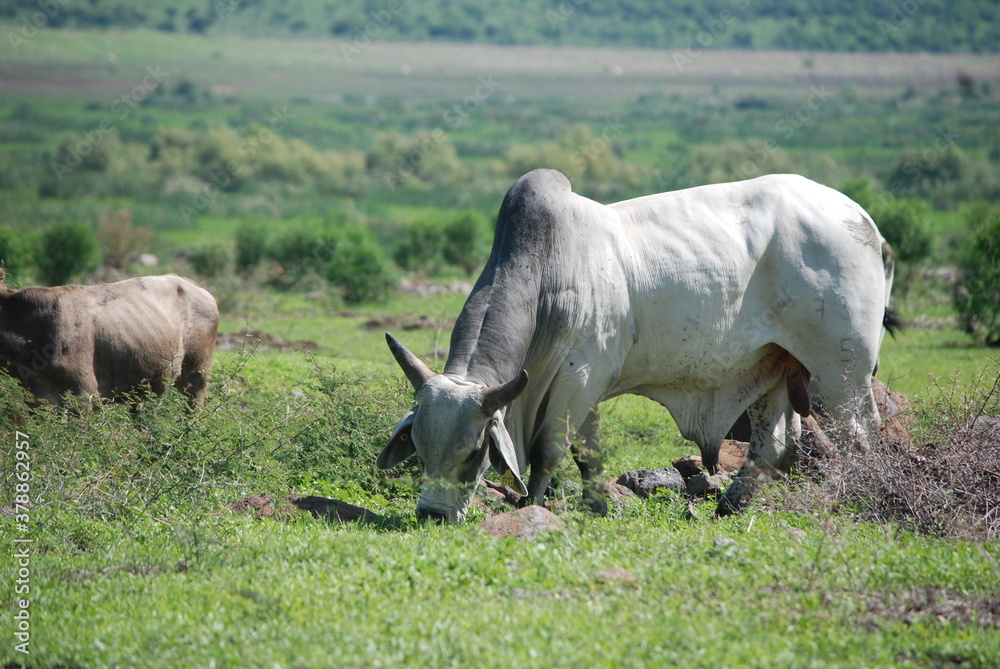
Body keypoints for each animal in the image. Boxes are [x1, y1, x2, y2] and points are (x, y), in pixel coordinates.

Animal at [379, 169, 894, 522]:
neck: (547, 273)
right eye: (418, 445)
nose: (432, 514)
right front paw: (597, 507)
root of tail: (865, 221)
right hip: (773, 366)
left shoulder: (578, 377)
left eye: (472, 453)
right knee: (774, 445)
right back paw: (727, 508)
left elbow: (548, 452)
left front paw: (534, 508)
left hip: (842, 372)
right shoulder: (583, 387)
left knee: (860, 438)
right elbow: (587, 452)